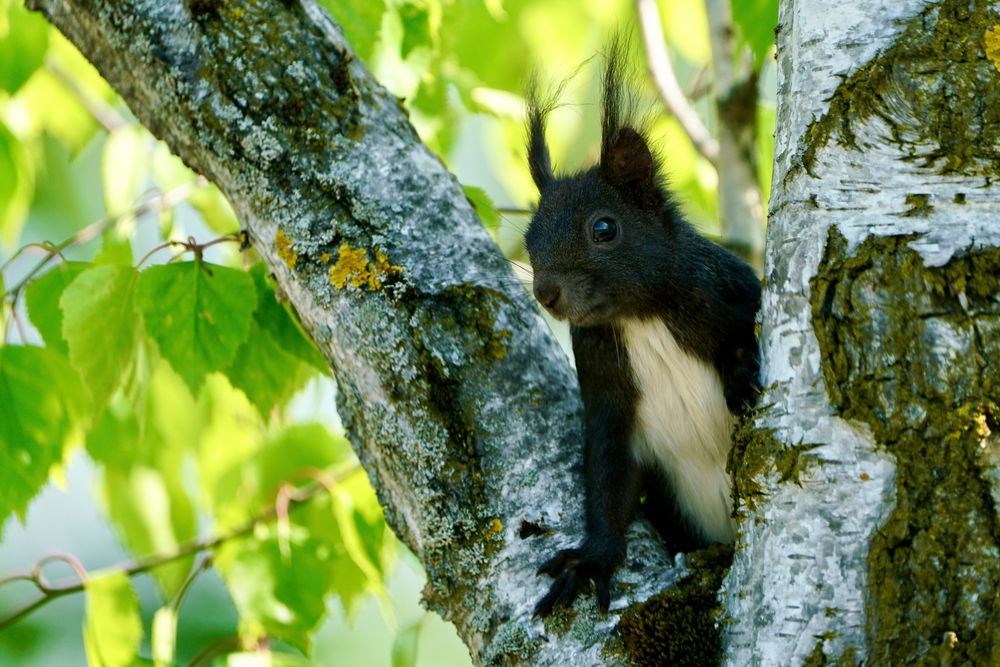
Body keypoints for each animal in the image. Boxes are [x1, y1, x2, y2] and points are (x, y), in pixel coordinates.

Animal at [524, 36, 756, 620]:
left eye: (604, 227)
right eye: (529, 239)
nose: (546, 293)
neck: (638, 317)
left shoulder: (729, 287)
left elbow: (750, 329)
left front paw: (744, 376)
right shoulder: (605, 390)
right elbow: (609, 474)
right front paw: (592, 560)